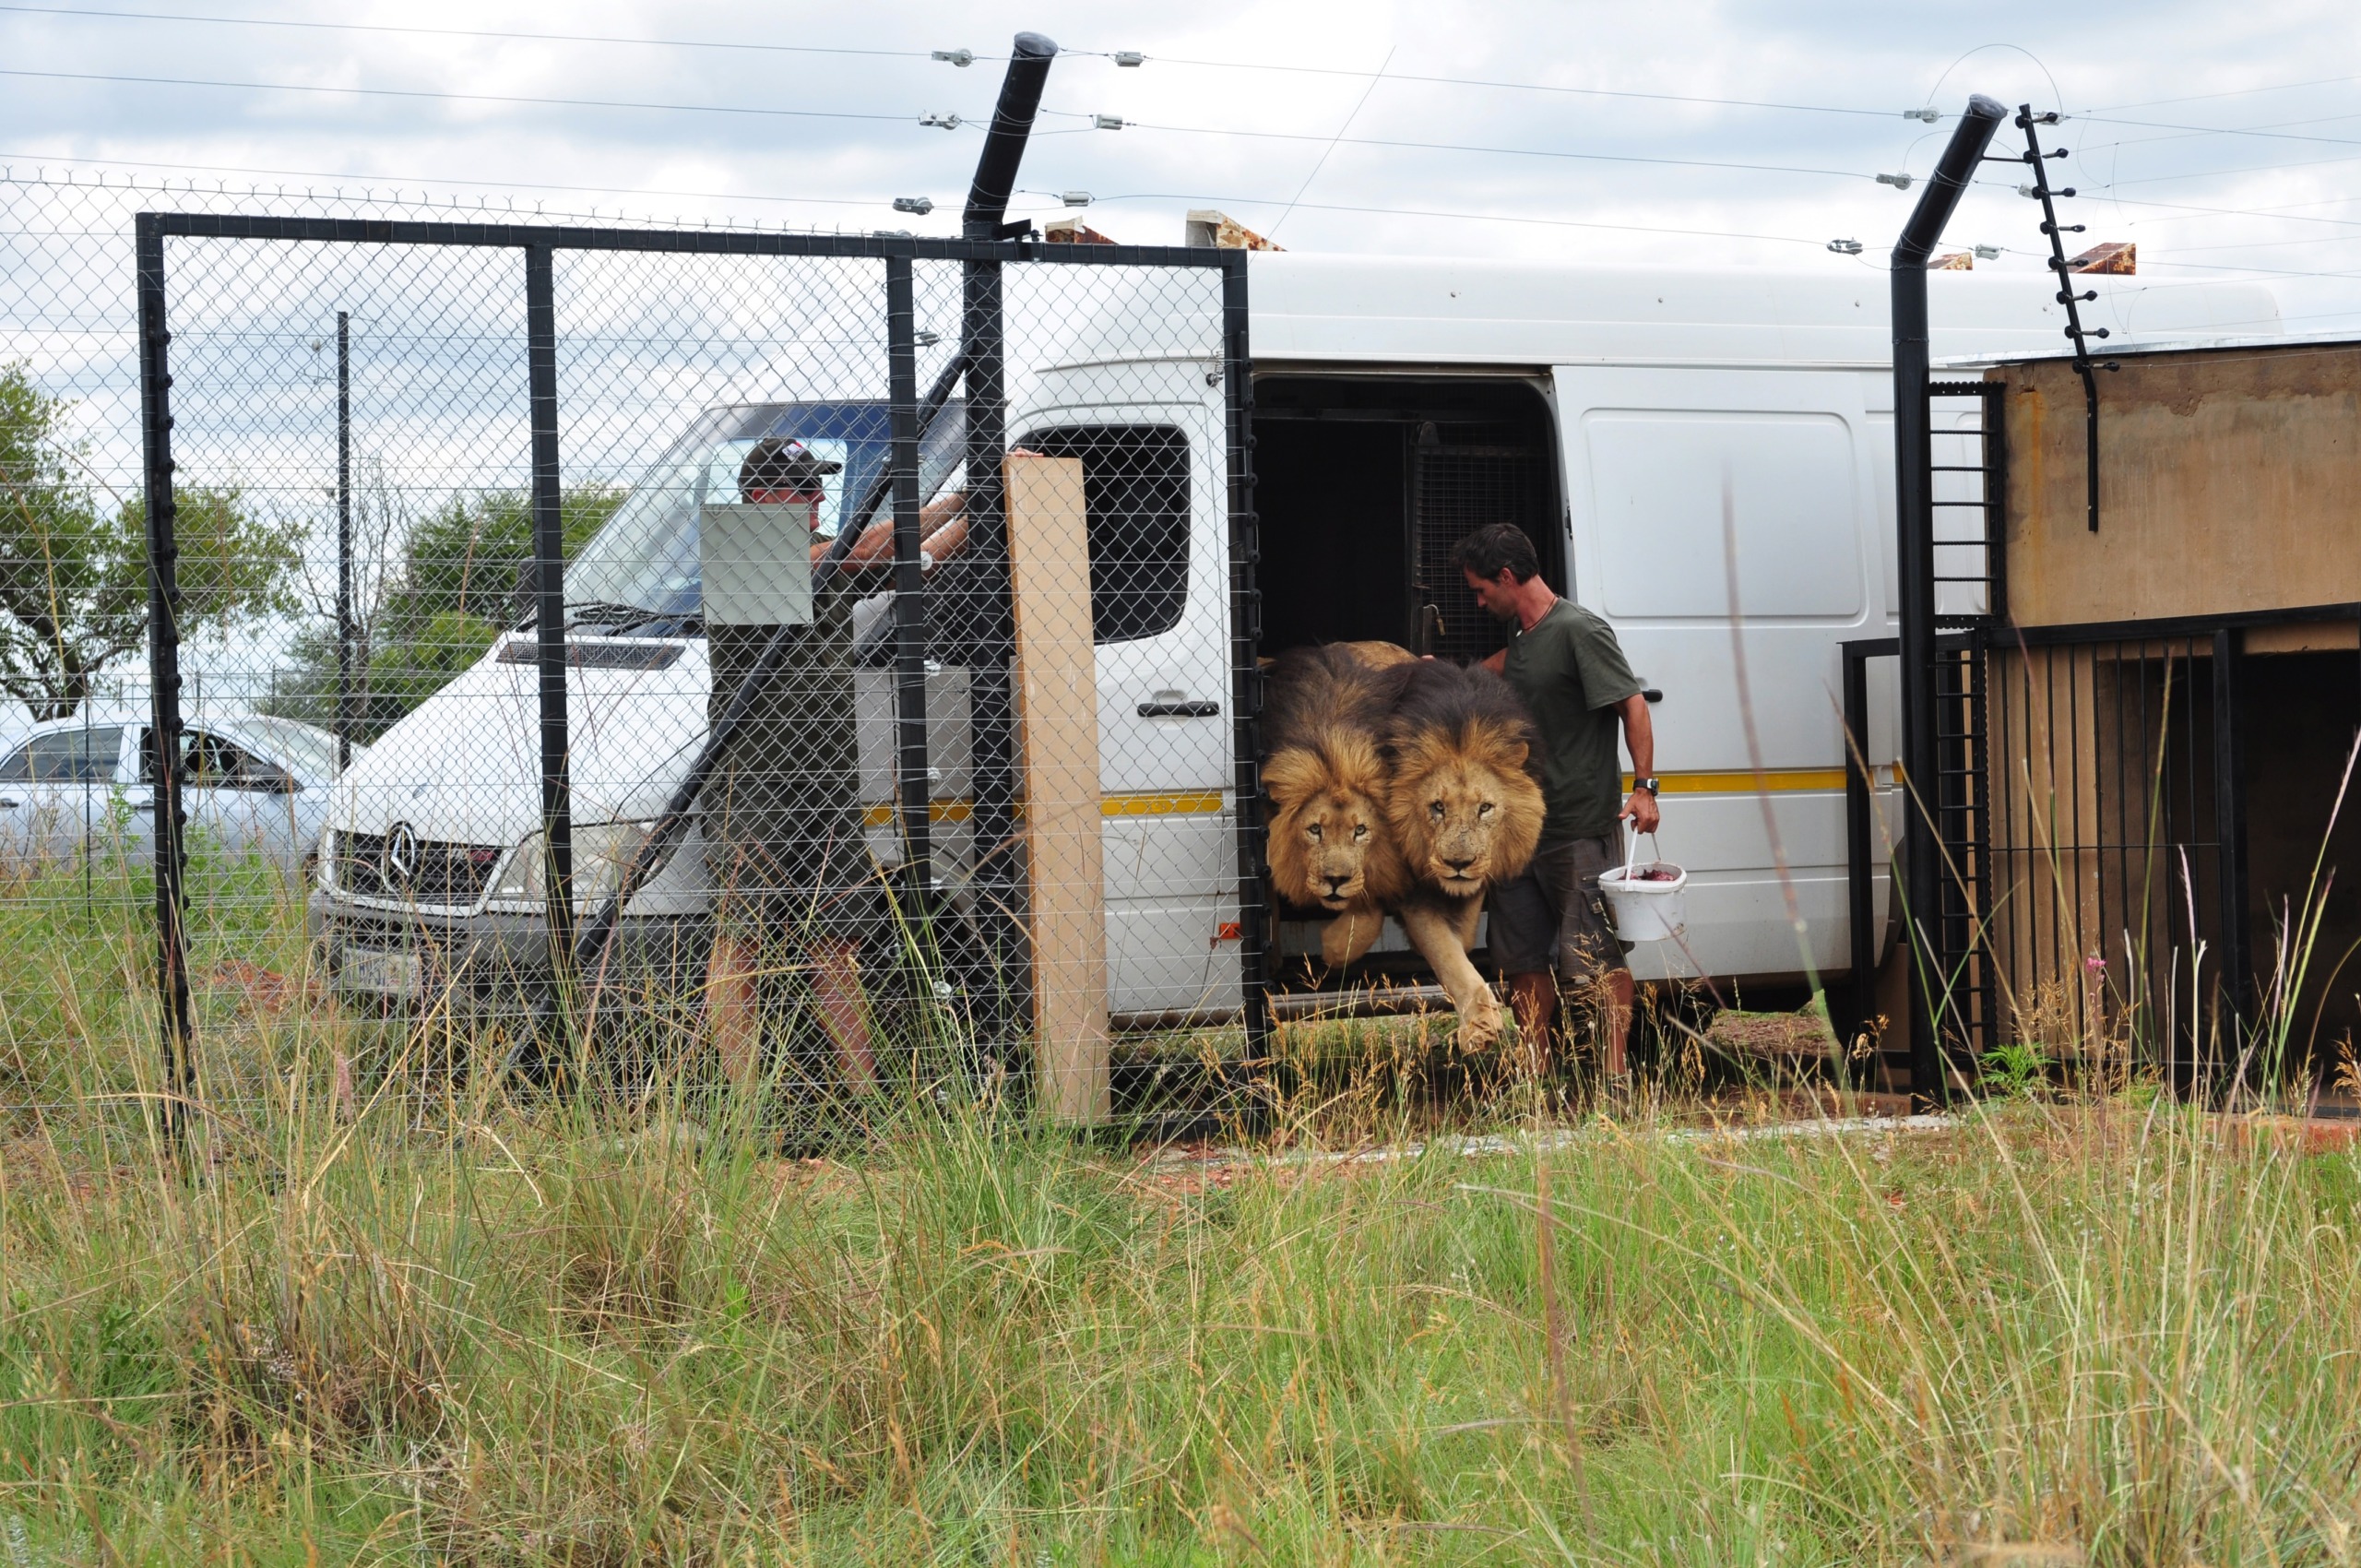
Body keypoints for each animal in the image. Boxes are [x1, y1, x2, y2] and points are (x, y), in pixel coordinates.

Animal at [1379, 656, 1548, 1048]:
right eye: (1437, 807)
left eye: (1485, 808)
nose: (1458, 864)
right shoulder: (1413, 891)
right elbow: (1446, 953)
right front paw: (1481, 1027)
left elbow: (1463, 935)